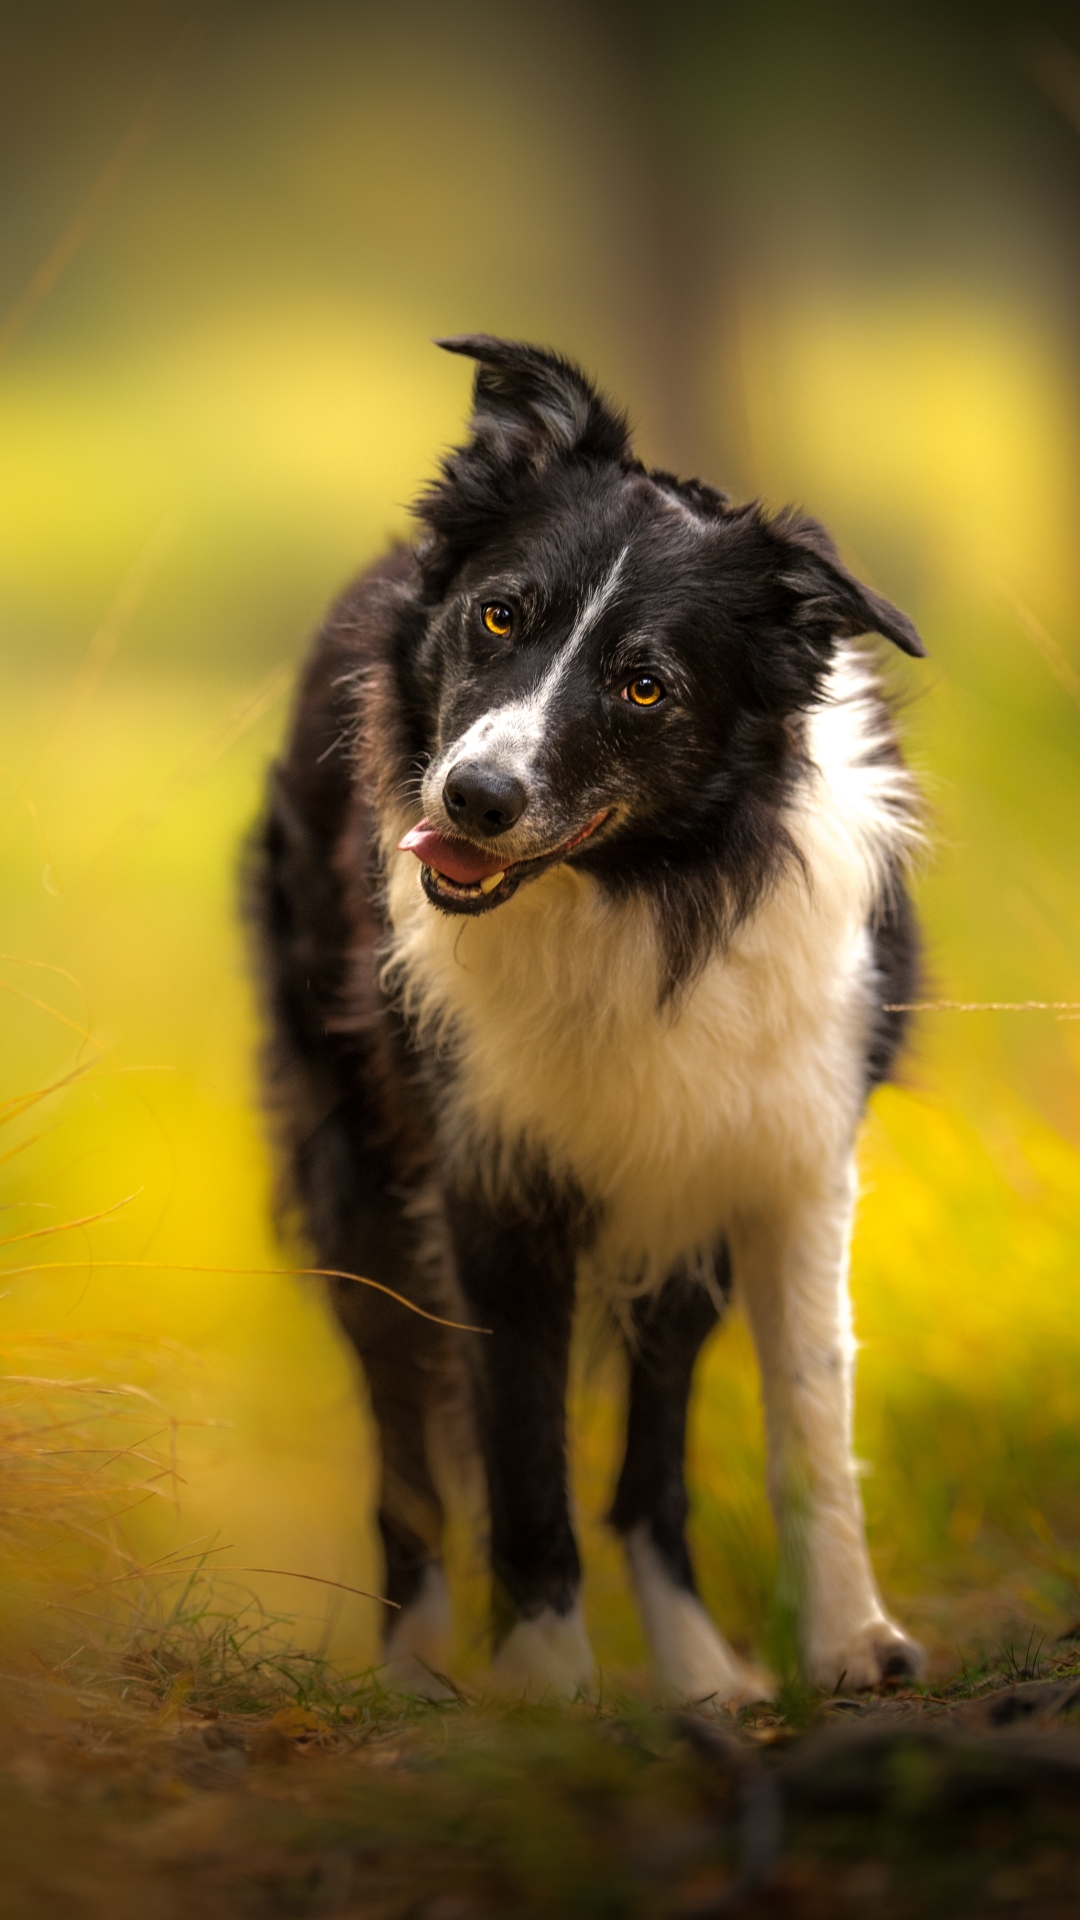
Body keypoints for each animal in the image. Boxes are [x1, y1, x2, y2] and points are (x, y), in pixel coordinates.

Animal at [251, 337, 926, 1704]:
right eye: (501, 614)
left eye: (646, 686)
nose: (474, 796)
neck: (637, 892)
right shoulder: (490, 1183)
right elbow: (520, 1459)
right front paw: (551, 1693)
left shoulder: (786, 1160)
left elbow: (808, 1422)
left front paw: (847, 1642)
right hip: (358, 1183)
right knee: (408, 1464)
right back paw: (416, 1673)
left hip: (680, 1217)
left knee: (649, 1472)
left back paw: (704, 1675)